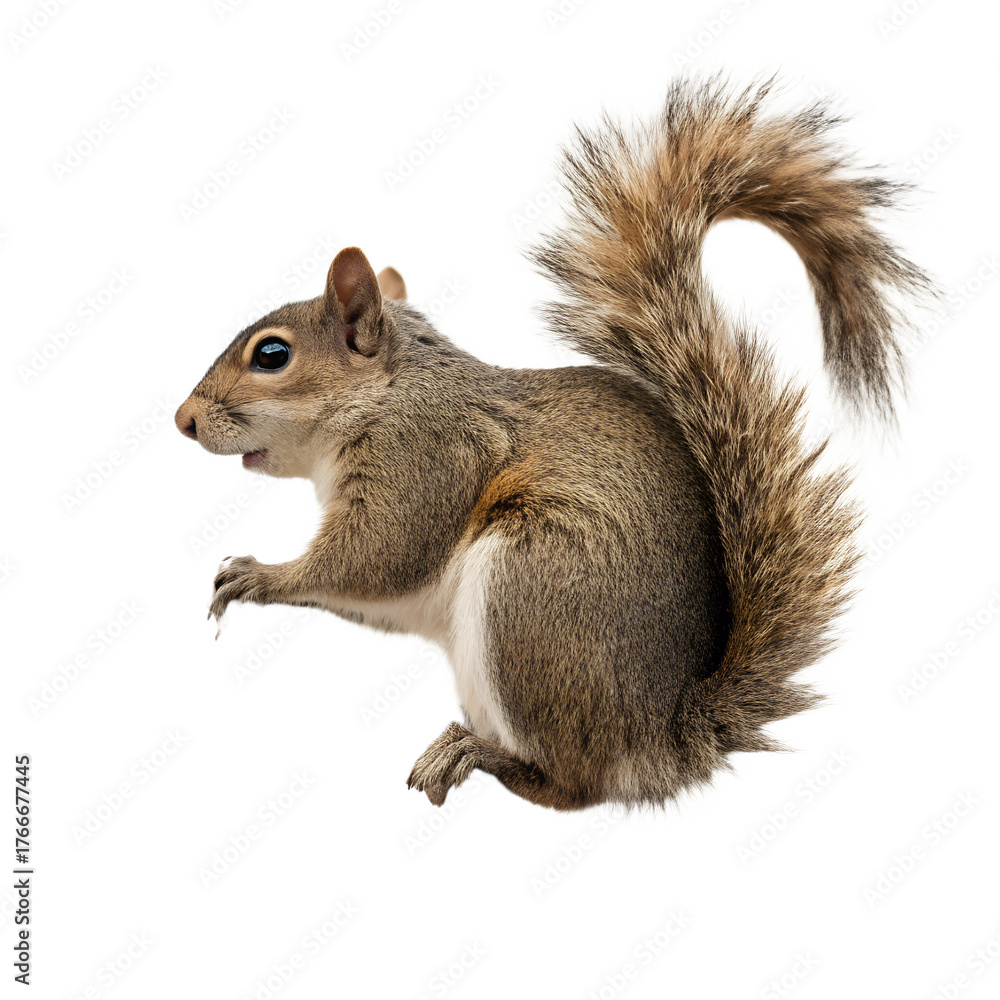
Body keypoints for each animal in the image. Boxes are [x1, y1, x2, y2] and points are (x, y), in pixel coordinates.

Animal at [175, 78, 931, 811]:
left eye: (272, 355)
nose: (182, 420)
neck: (384, 397)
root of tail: (661, 741)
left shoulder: (427, 455)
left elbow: (374, 558)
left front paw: (261, 574)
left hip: (530, 592)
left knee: (573, 787)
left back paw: (479, 754)